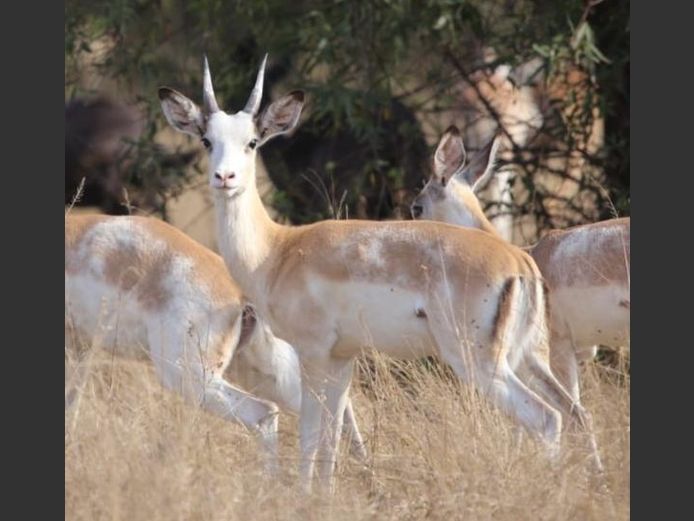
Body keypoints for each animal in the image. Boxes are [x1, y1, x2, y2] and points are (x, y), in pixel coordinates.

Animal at [157, 55, 602, 492]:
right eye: (206, 140)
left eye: (252, 142)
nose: (225, 177)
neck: (278, 250)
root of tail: (519, 262)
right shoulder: (342, 358)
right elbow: (333, 435)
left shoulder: (313, 353)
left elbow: (310, 435)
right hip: (527, 356)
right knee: (572, 412)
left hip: (479, 362)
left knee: (545, 417)